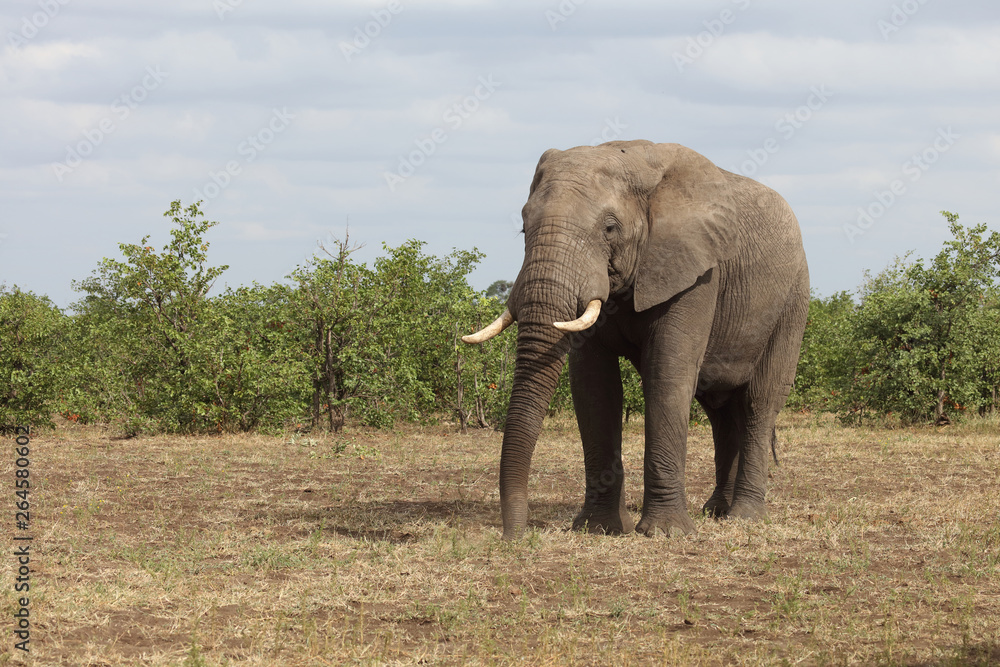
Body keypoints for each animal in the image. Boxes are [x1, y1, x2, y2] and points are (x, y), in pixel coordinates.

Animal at [463, 140, 809, 539]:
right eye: (523, 227)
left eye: (610, 228)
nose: (515, 537)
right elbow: (595, 386)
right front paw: (598, 528)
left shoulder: (698, 273)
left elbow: (667, 373)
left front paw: (665, 533)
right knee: (719, 410)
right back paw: (716, 511)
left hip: (793, 301)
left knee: (758, 403)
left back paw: (744, 517)